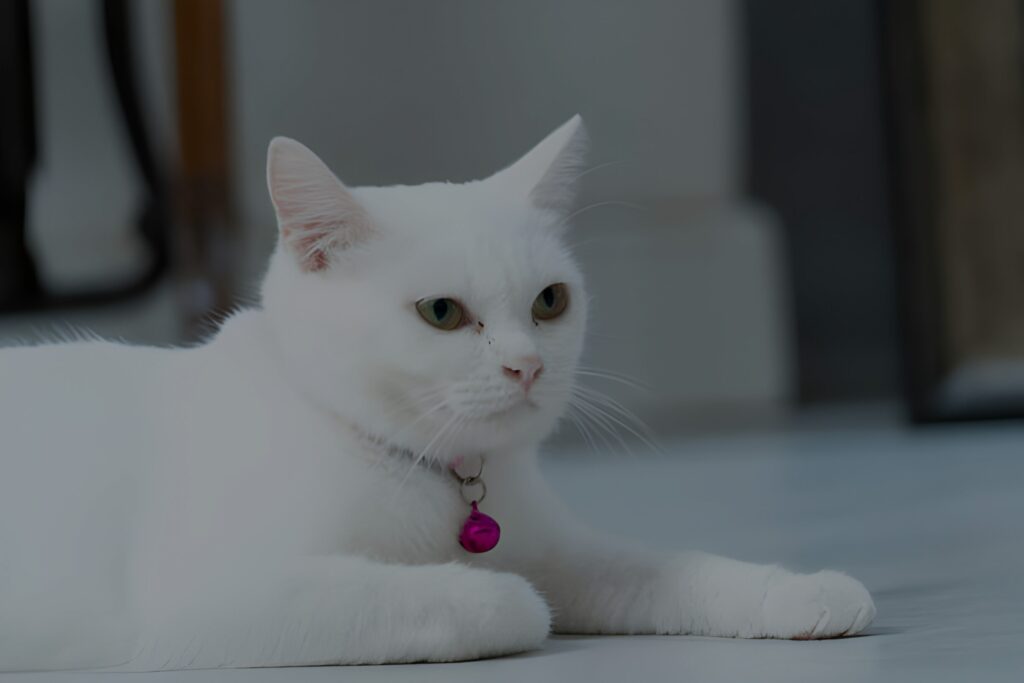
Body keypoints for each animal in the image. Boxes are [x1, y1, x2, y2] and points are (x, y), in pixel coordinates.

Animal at [0, 117, 872, 671]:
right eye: (443, 313)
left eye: (550, 302)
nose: (528, 365)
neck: (428, 471)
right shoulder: (206, 590)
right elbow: (485, 598)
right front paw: (498, 594)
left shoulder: (566, 550)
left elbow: (672, 569)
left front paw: (801, 589)